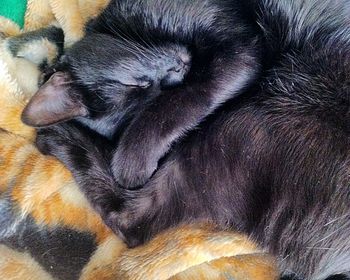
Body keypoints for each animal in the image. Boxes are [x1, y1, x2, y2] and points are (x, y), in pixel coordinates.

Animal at [22, 0, 350, 280]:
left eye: (135, 84)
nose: (179, 67)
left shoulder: (239, 49)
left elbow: (185, 98)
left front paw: (129, 162)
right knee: (134, 220)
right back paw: (55, 134)